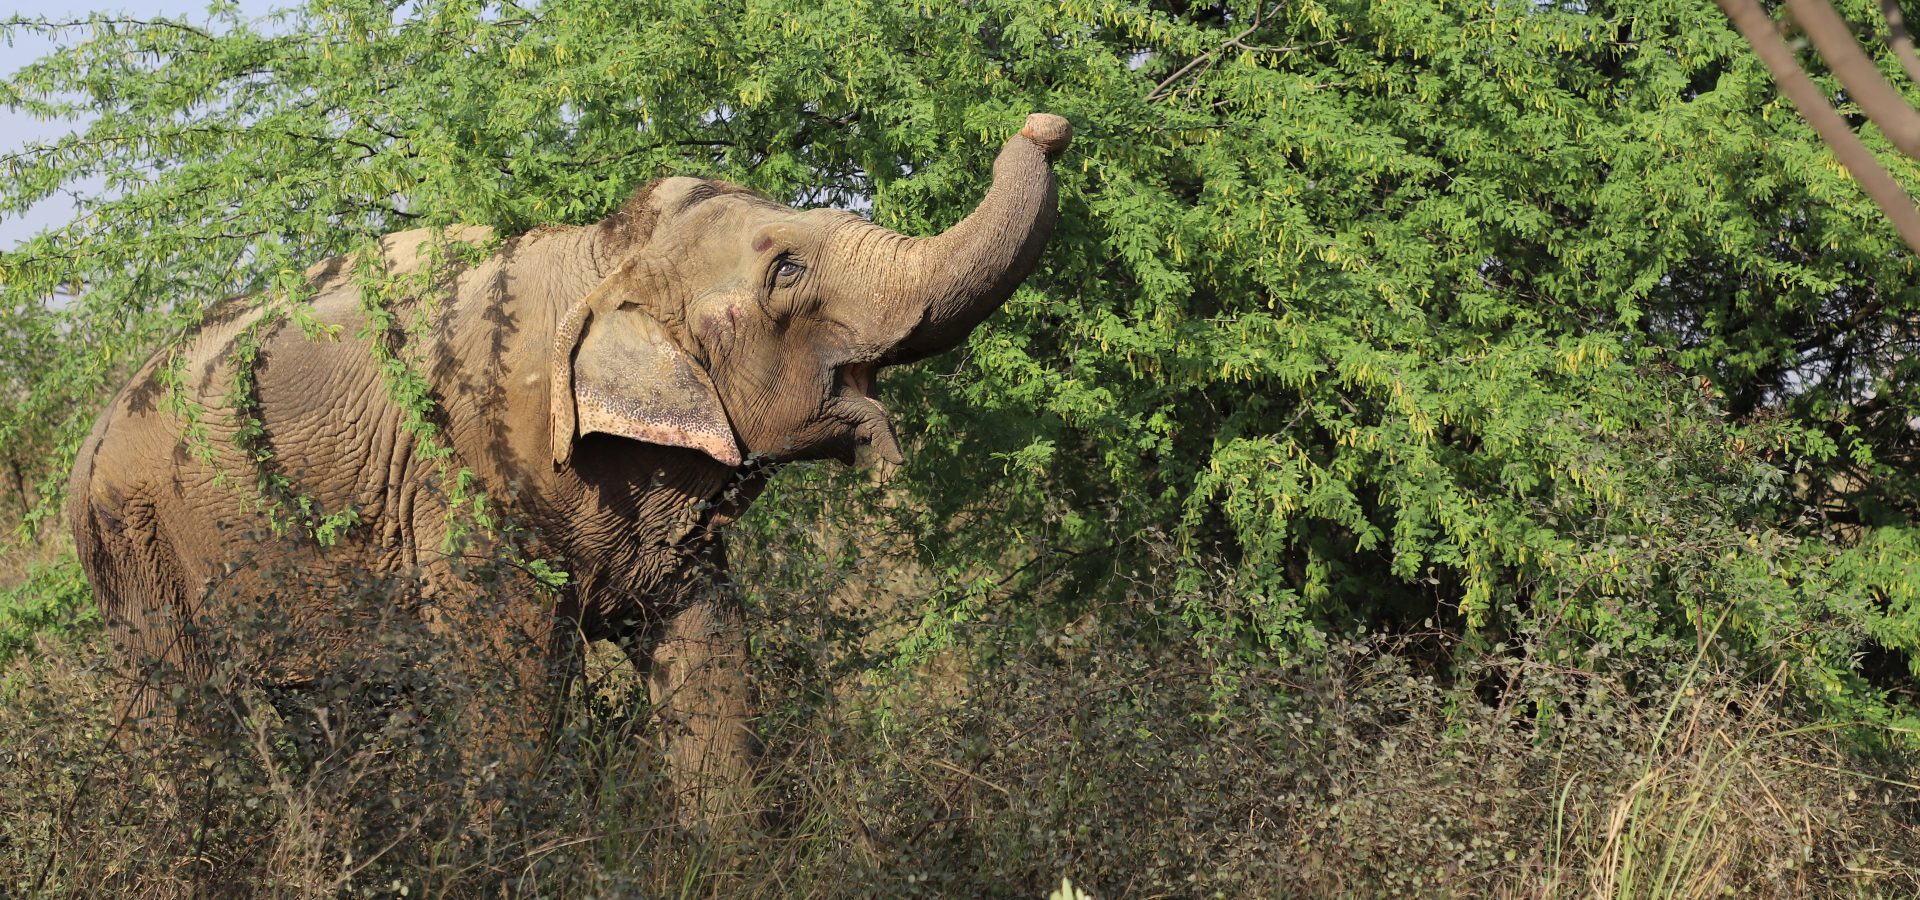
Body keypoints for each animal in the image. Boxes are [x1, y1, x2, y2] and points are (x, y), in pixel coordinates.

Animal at [63, 114, 1067, 805]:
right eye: (786, 271)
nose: (1046, 125)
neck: (601, 257)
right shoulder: (473, 482)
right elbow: (511, 679)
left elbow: (709, 652)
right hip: (134, 546)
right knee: (177, 712)